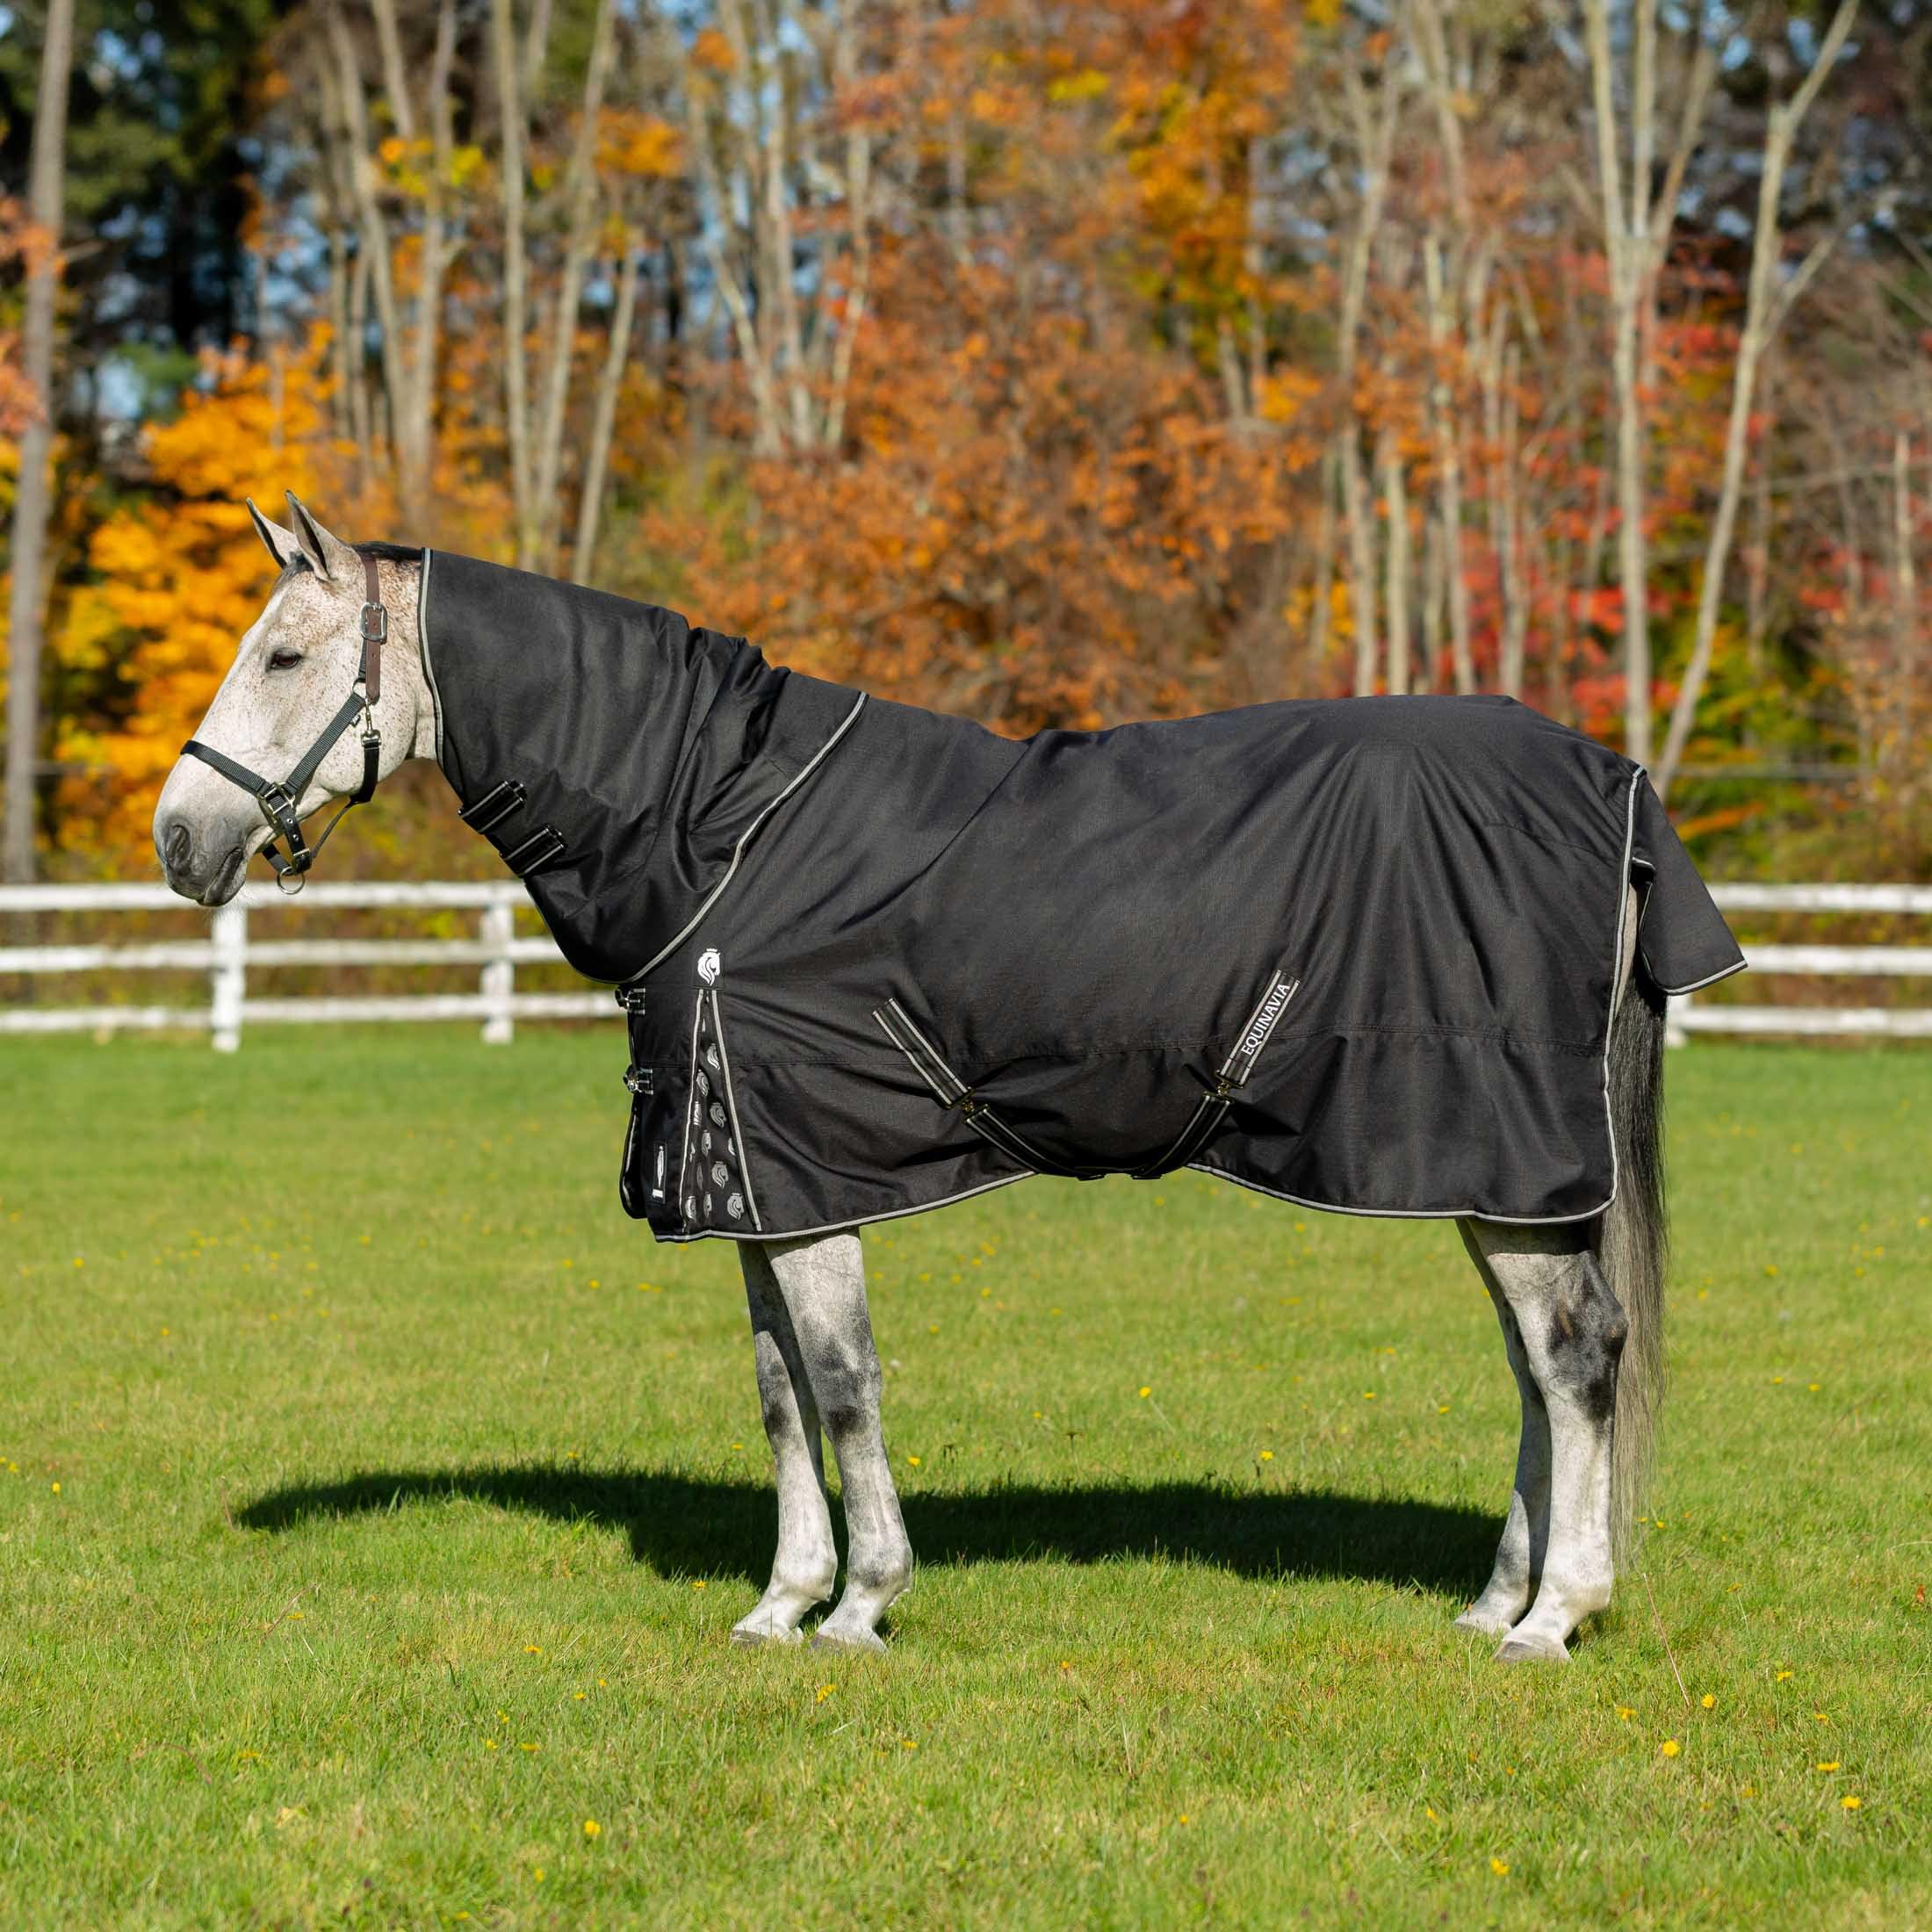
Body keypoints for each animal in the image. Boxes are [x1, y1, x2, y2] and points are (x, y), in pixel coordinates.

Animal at [153, 494, 1743, 1662]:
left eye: (284, 659)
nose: (179, 840)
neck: (722, 826)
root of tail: (1609, 779)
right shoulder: (753, 1184)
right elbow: (780, 1392)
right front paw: (782, 1604)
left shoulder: (805, 1176)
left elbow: (846, 1385)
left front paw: (862, 1607)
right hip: (1492, 1180)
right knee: (1540, 1367)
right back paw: (1495, 1601)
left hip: (1497, 1160)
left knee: (1578, 1355)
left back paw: (1556, 1619)